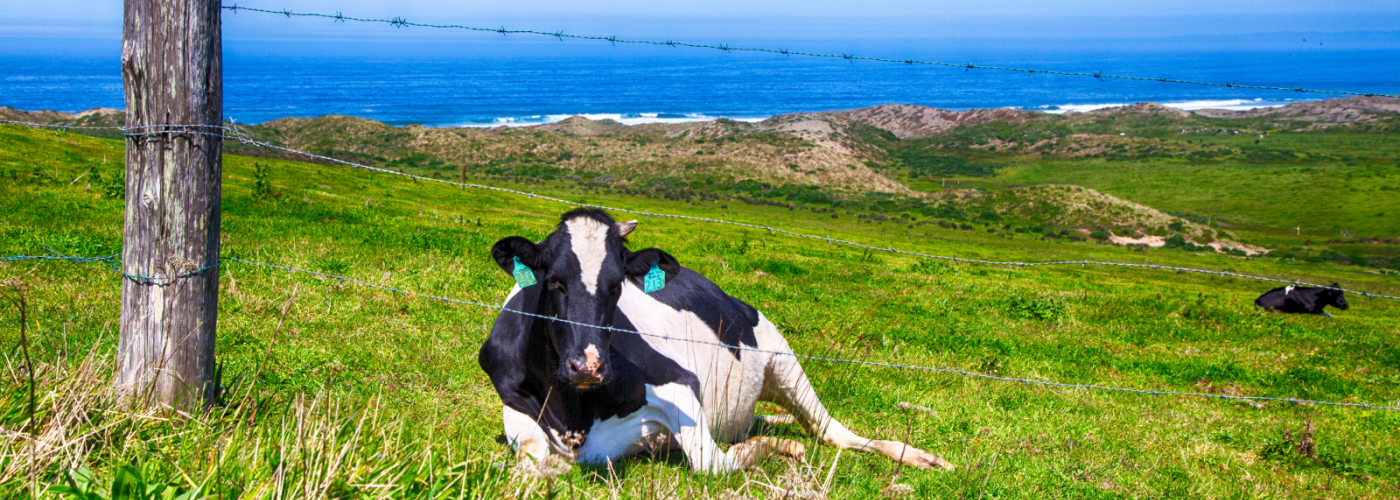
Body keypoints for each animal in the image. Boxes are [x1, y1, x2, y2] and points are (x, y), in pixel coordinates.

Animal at [479, 208, 954, 473]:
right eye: (553, 280)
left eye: (617, 286)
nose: (588, 366)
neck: (574, 412)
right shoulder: (515, 405)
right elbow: (535, 457)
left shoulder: (679, 384)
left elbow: (713, 462)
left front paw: (779, 449)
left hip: (782, 356)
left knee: (833, 432)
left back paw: (919, 456)